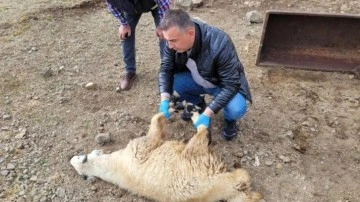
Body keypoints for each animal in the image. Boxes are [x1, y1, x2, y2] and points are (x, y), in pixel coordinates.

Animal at [70, 113, 262, 201]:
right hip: (199, 160)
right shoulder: (140, 149)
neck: (112, 166)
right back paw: (197, 119)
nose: (71, 158)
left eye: (79, 158)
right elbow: (154, 132)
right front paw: (163, 113)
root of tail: (229, 190)